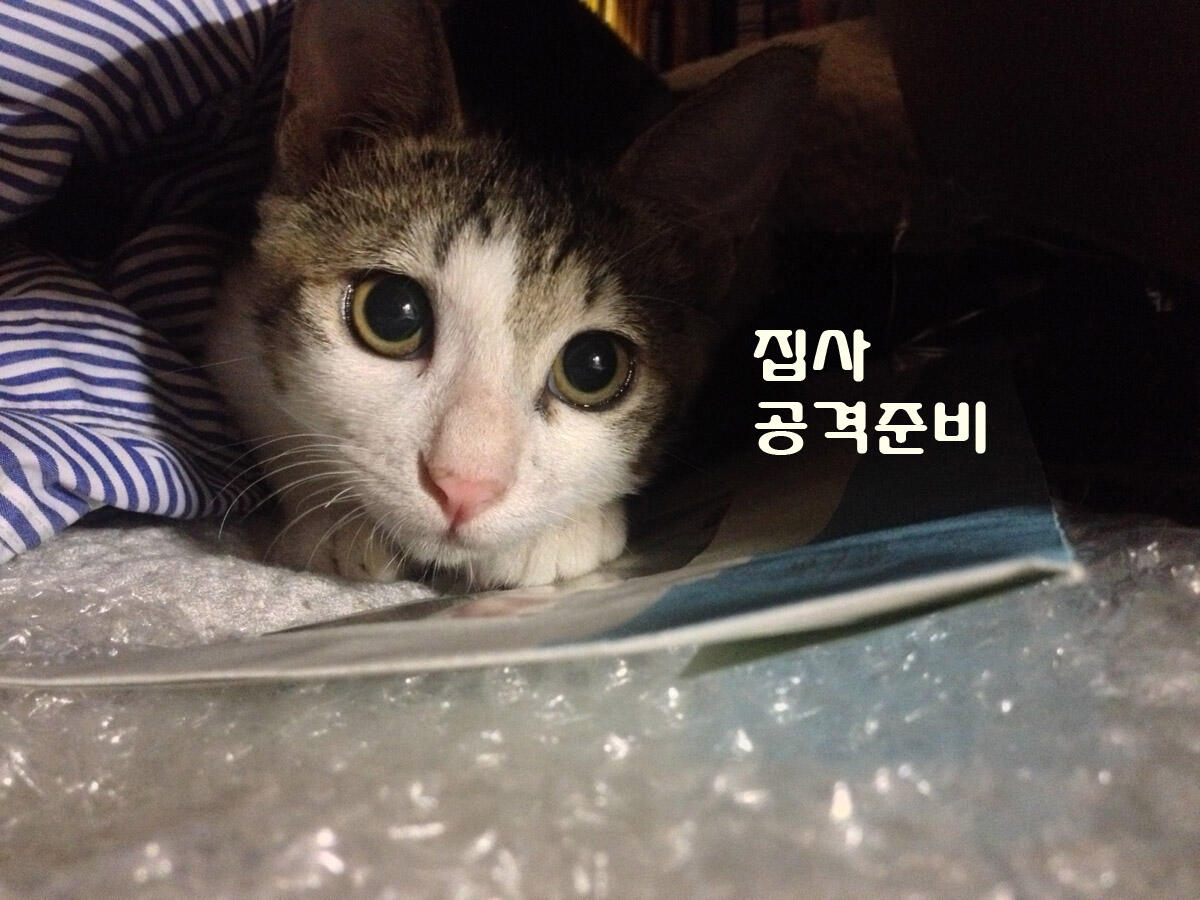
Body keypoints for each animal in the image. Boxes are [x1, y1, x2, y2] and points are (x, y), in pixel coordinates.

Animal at [206, 0, 813, 587]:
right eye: (392, 314)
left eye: (594, 365)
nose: (464, 484)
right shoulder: (231, 318)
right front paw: (332, 519)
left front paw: (563, 532)